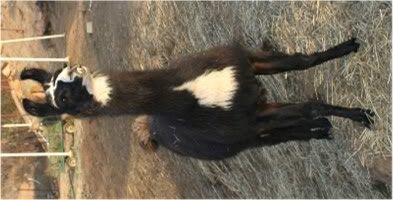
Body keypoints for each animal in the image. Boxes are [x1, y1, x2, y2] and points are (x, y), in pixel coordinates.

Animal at [20, 37, 374, 159]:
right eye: (62, 99)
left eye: (60, 76)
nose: (73, 71)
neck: (185, 93)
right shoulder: (247, 118)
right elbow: (309, 105)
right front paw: (362, 115)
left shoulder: (245, 65)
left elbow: (301, 61)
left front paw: (349, 46)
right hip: (238, 138)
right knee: (279, 135)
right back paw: (321, 129)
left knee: (282, 133)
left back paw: (322, 129)